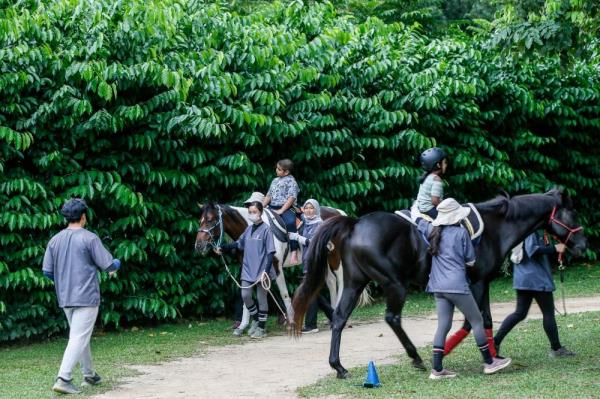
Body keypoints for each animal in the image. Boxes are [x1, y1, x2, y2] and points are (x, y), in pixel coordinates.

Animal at [292, 190, 588, 378]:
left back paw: (339, 367)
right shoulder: (478, 282)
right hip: (395, 284)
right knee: (392, 318)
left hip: (355, 283)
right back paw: (416, 357)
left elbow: (478, 321)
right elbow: (480, 320)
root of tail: (355, 224)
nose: (583, 245)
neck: (495, 227)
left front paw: (462, 353)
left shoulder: (478, 284)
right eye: (572, 214)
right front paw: (484, 356)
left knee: (340, 318)